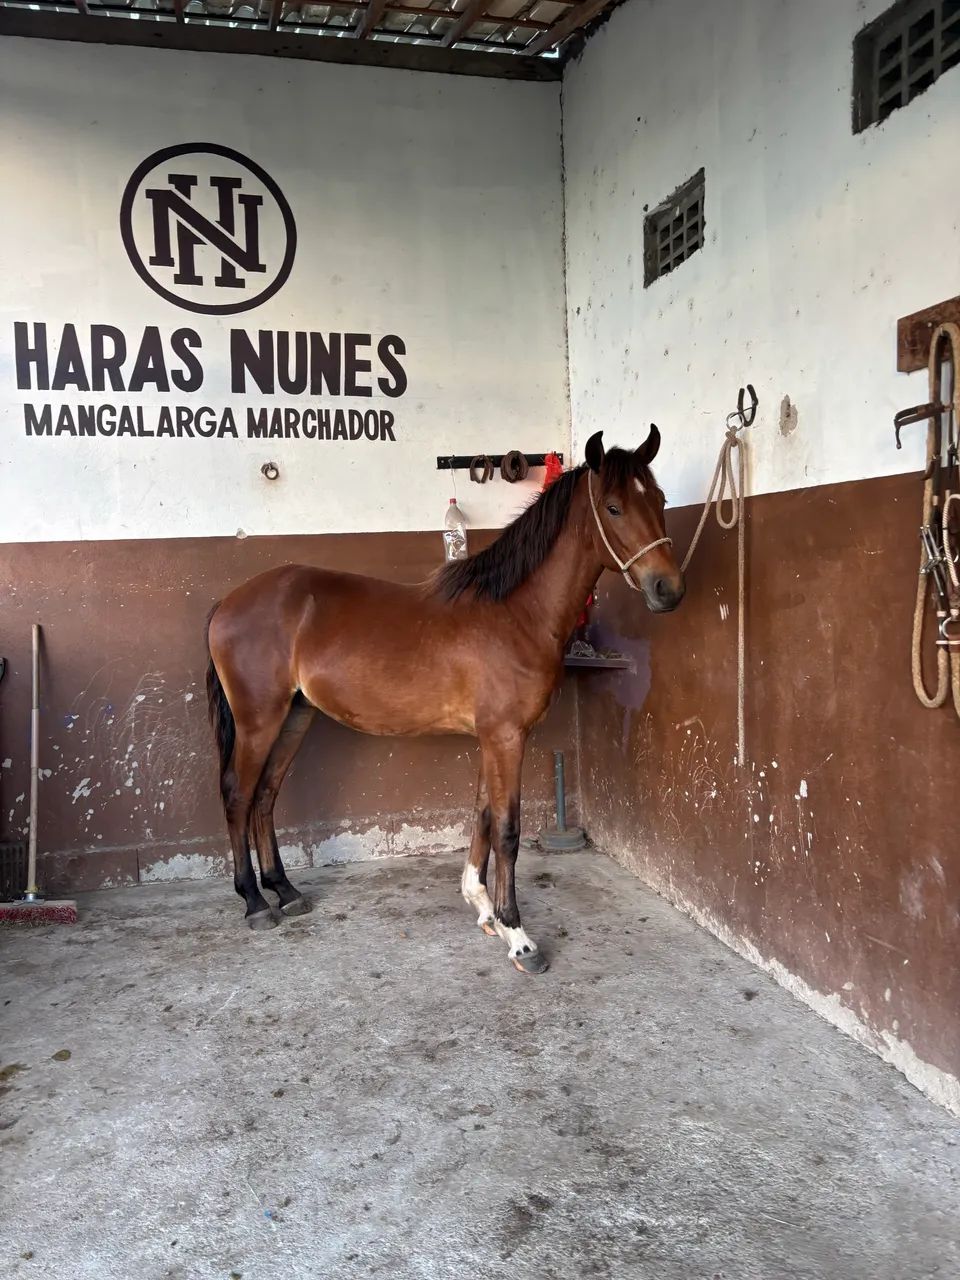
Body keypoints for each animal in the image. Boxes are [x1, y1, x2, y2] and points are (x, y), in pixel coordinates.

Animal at [205, 427, 684, 972]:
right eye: (614, 507)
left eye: (660, 500)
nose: (668, 589)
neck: (514, 613)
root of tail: (229, 601)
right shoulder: (506, 737)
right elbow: (507, 830)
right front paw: (518, 936)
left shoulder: (491, 738)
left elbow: (482, 816)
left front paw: (483, 908)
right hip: (258, 720)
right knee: (239, 796)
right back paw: (254, 902)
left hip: (295, 716)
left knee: (265, 796)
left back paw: (285, 891)